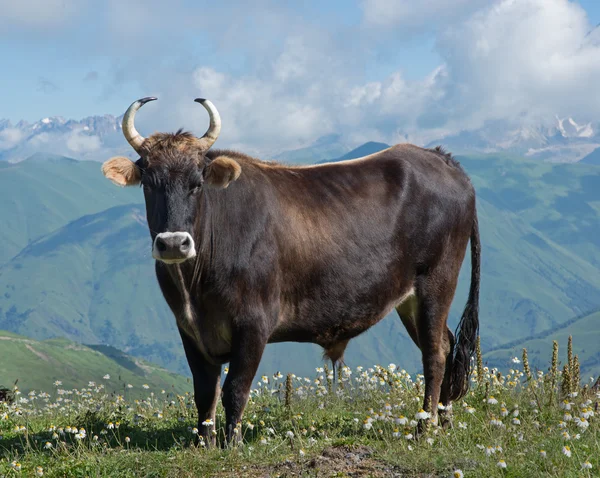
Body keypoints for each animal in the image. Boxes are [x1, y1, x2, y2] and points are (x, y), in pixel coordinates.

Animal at [101, 96, 480, 444]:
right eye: (149, 183)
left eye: (197, 183)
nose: (173, 243)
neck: (195, 287)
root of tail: (441, 158)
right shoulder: (188, 328)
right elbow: (205, 391)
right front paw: (203, 443)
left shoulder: (255, 321)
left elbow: (235, 388)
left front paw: (232, 444)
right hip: (407, 298)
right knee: (445, 343)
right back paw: (444, 421)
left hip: (437, 279)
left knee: (434, 354)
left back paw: (424, 428)